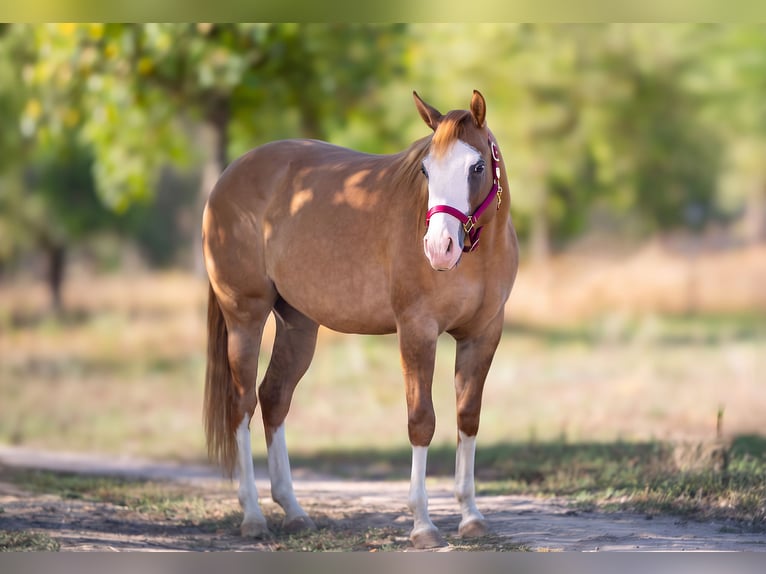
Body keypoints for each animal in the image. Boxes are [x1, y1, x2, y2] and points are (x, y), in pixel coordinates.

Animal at [202, 90, 518, 549]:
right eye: (426, 169)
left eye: (476, 166)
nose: (438, 248)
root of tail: (228, 179)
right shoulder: (417, 331)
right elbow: (421, 421)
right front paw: (422, 524)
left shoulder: (483, 335)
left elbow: (468, 418)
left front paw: (471, 516)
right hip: (245, 315)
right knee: (241, 405)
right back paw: (253, 516)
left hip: (299, 325)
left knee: (274, 397)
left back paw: (294, 511)